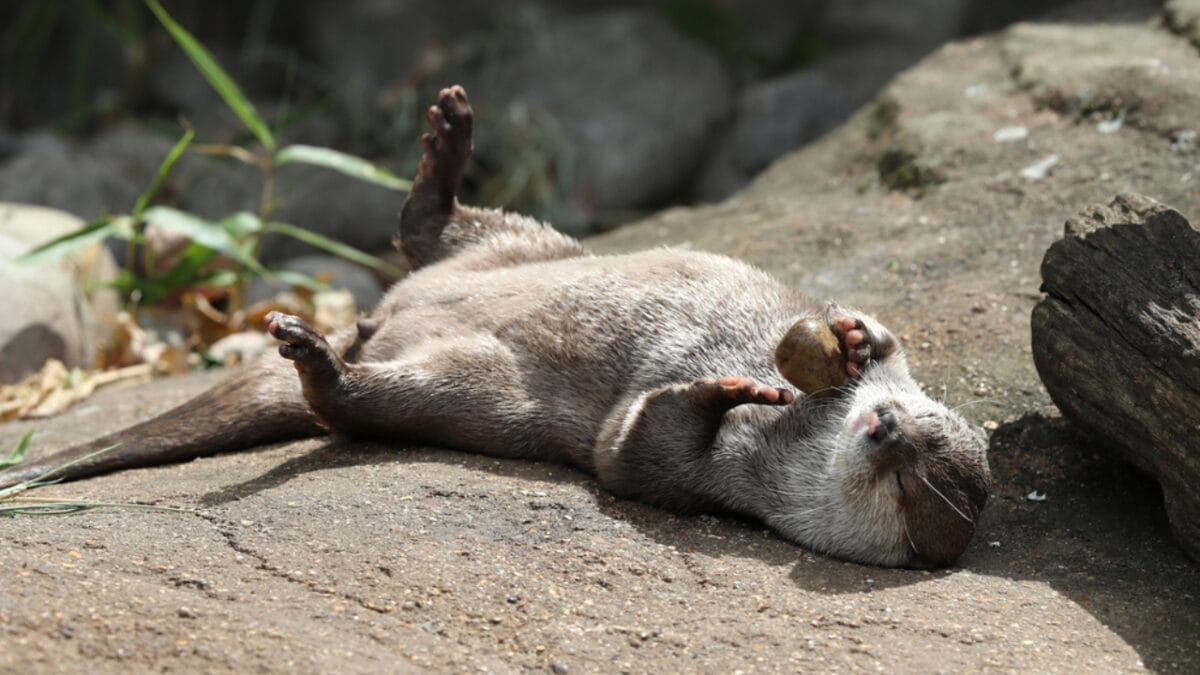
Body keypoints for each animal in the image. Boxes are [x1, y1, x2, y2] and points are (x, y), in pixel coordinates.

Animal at [0, 87, 989, 568]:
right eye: (919, 435)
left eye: (908, 483)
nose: (885, 423)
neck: (797, 439)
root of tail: (377, 323)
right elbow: (886, 338)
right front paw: (850, 339)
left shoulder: (724, 485)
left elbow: (635, 456)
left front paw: (720, 387)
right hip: (518, 242)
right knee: (428, 229)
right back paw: (447, 137)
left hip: (473, 390)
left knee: (350, 409)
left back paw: (320, 361)